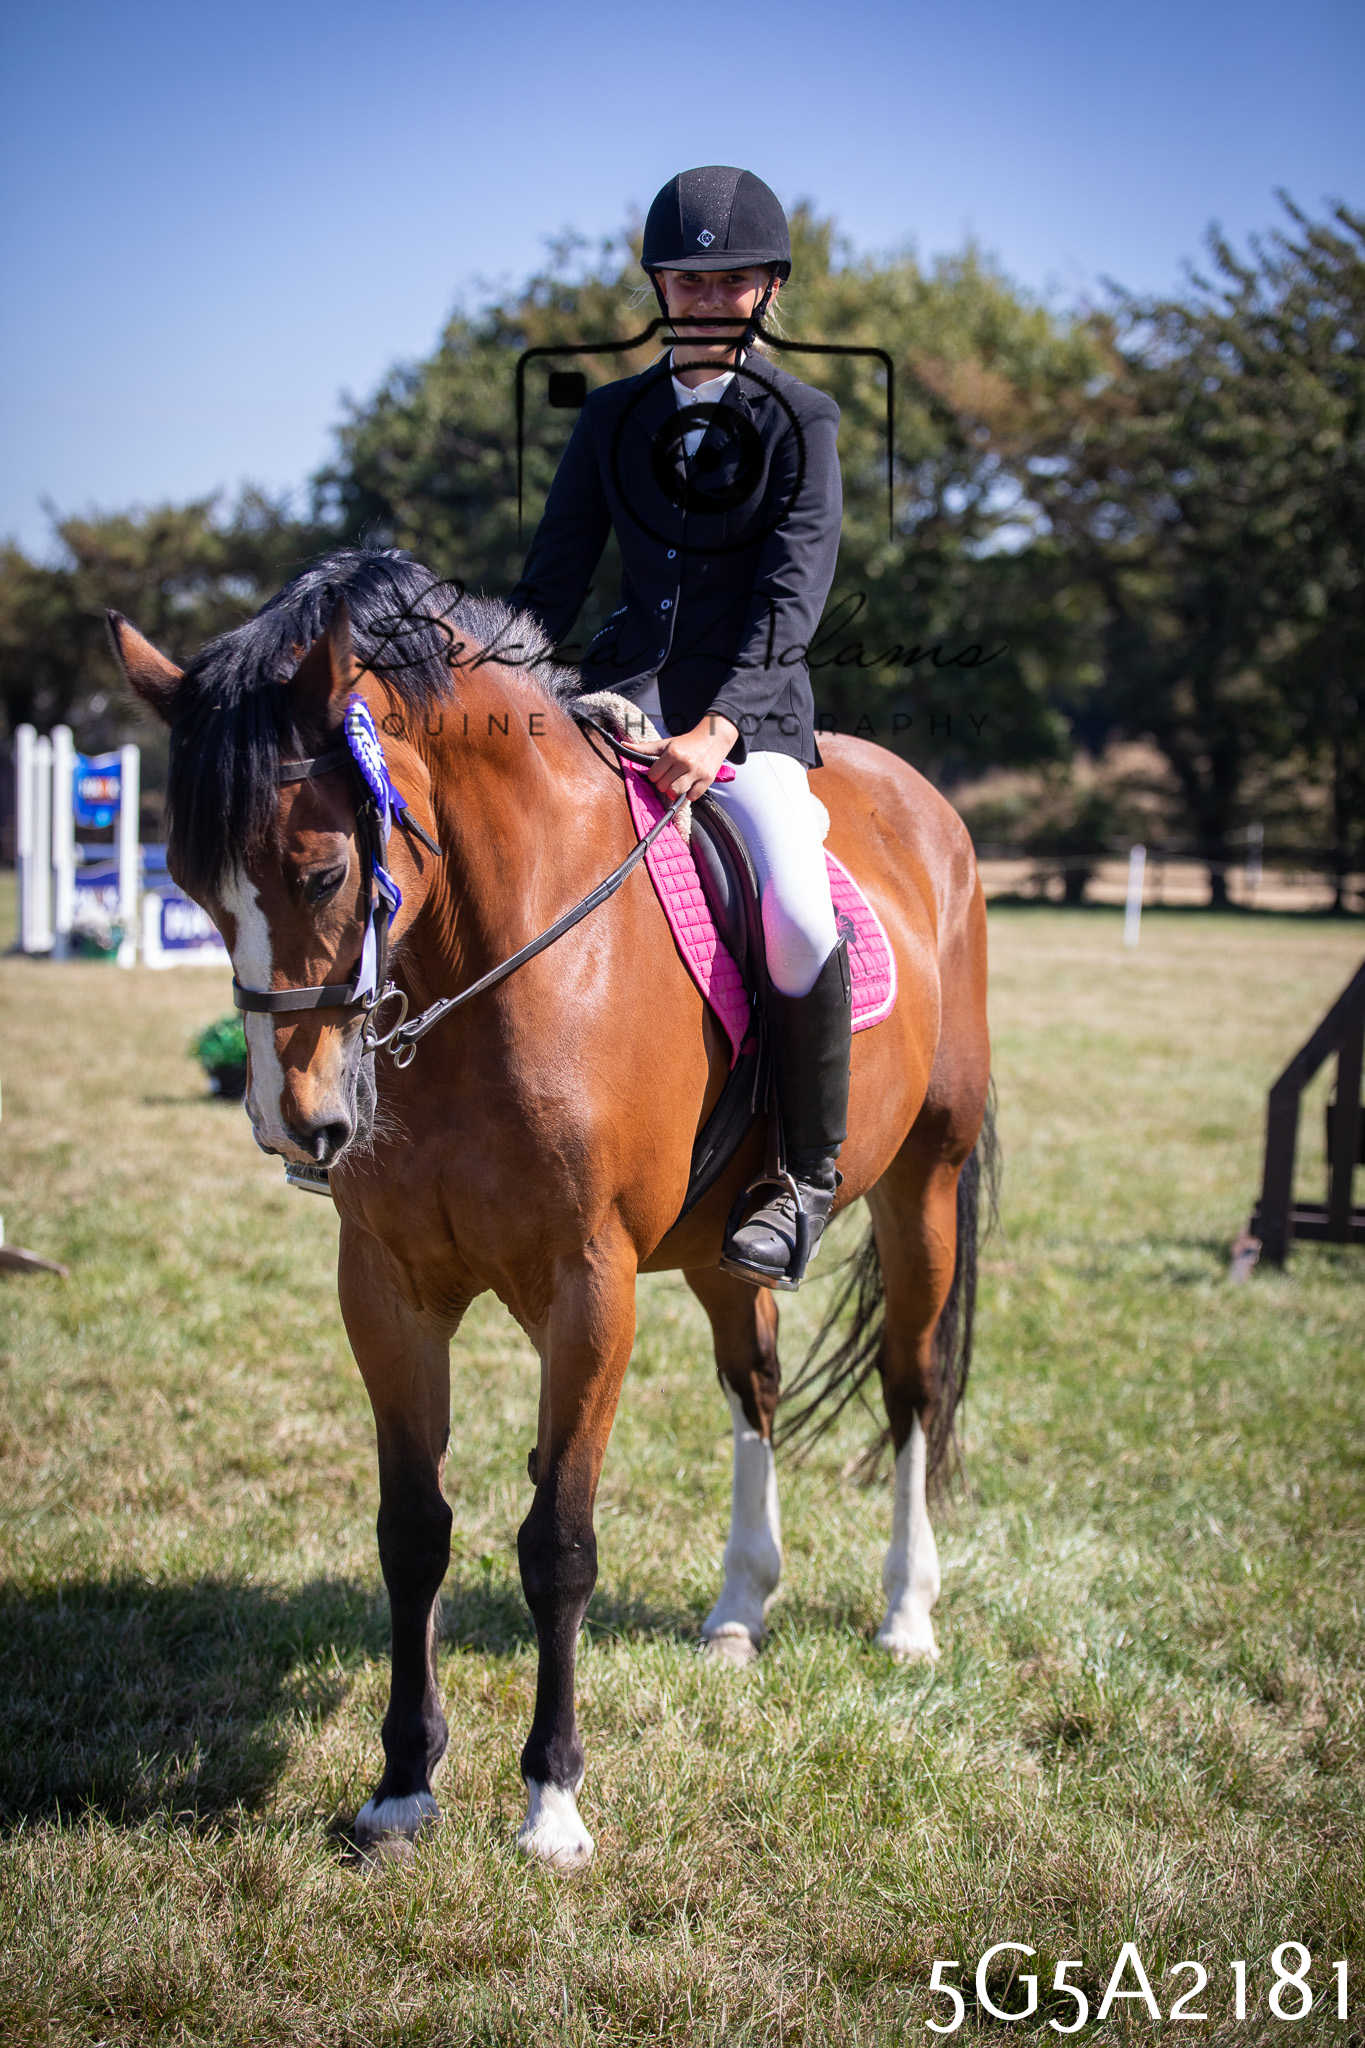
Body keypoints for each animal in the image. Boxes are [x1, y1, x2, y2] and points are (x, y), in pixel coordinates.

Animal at [109, 546, 995, 1871]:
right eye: (189, 887)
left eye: (322, 870)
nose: (295, 1123)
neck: (487, 966)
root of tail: (921, 800)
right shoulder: (387, 1288)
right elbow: (413, 1529)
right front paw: (401, 1787)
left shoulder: (590, 1289)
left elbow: (558, 1542)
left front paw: (552, 1802)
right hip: (725, 1247)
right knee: (756, 1383)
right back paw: (739, 1609)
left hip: (922, 1182)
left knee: (912, 1387)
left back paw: (906, 1615)